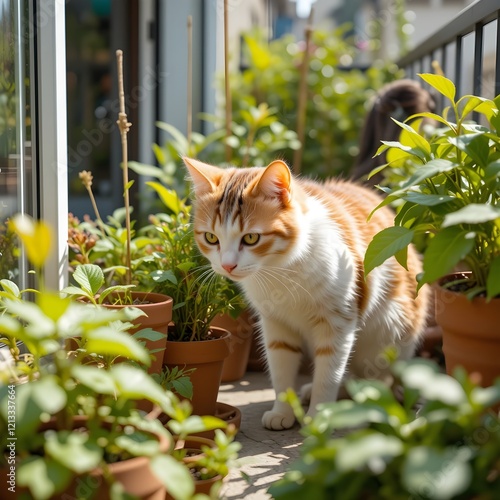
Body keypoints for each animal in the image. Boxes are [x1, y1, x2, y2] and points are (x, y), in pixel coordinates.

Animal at [184, 156, 430, 430]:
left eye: (250, 238)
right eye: (211, 237)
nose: (227, 266)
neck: (279, 270)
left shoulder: (338, 323)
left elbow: (329, 374)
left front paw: (319, 414)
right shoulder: (275, 324)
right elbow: (281, 371)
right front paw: (282, 411)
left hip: (390, 332)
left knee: (376, 375)